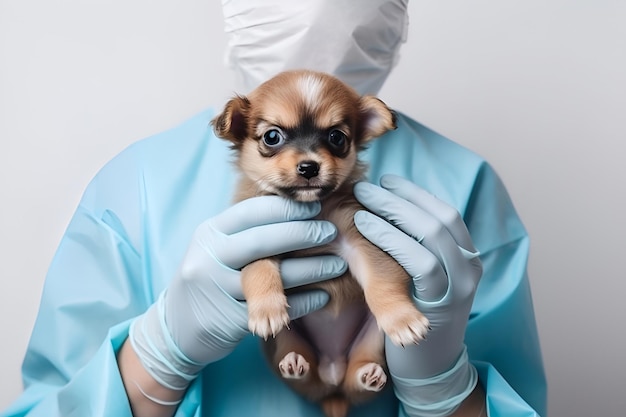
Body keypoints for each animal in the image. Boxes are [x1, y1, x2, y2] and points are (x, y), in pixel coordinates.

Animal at [210, 70, 428, 414]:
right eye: (272, 137)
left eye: (337, 137)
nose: (309, 167)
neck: (311, 209)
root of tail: (332, 381)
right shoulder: (259, 236)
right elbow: (259, 269)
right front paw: (266, 309)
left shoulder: (358, 239)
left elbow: (381, 282)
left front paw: (402, 319)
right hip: (284, 340)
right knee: (301, 370)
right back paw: (295, 364)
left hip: (371, 339)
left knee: (359, 379)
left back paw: (370, 374)